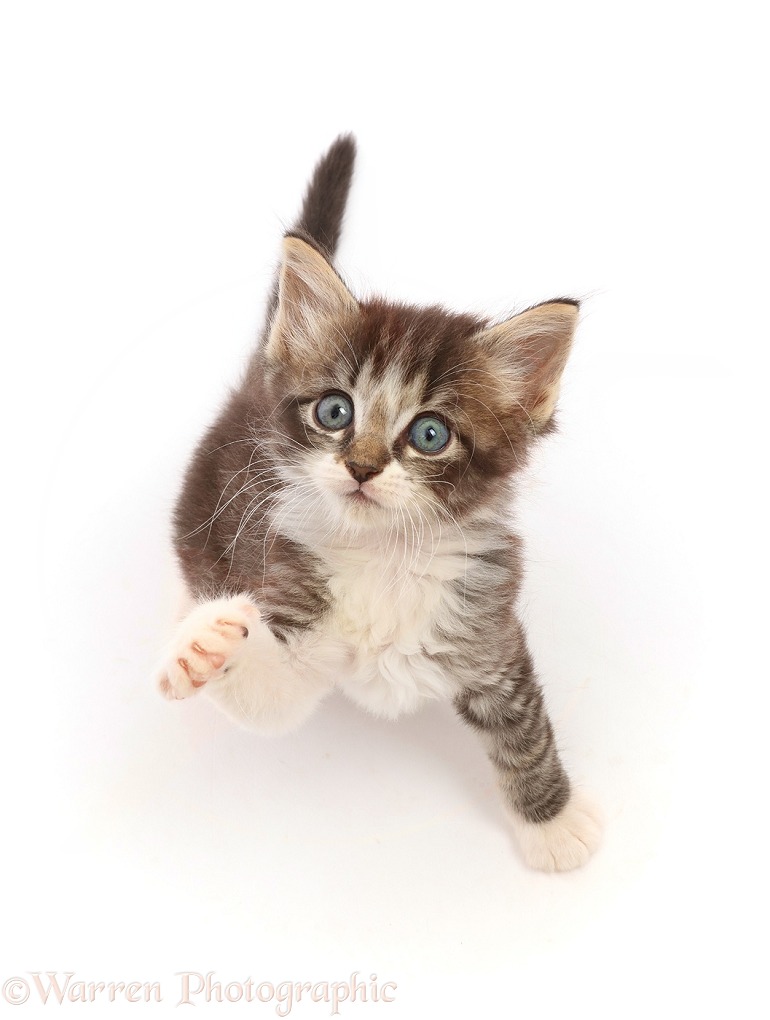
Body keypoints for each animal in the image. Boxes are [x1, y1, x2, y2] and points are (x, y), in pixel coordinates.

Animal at [157, 133, 603, 869]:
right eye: (335, 411)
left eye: (430, 434)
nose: (362, 467)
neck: (387, 556)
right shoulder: (290, 592)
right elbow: (269, 695)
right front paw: (209, 645)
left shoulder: (489, 633)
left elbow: (524, 731)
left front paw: (555, 824)